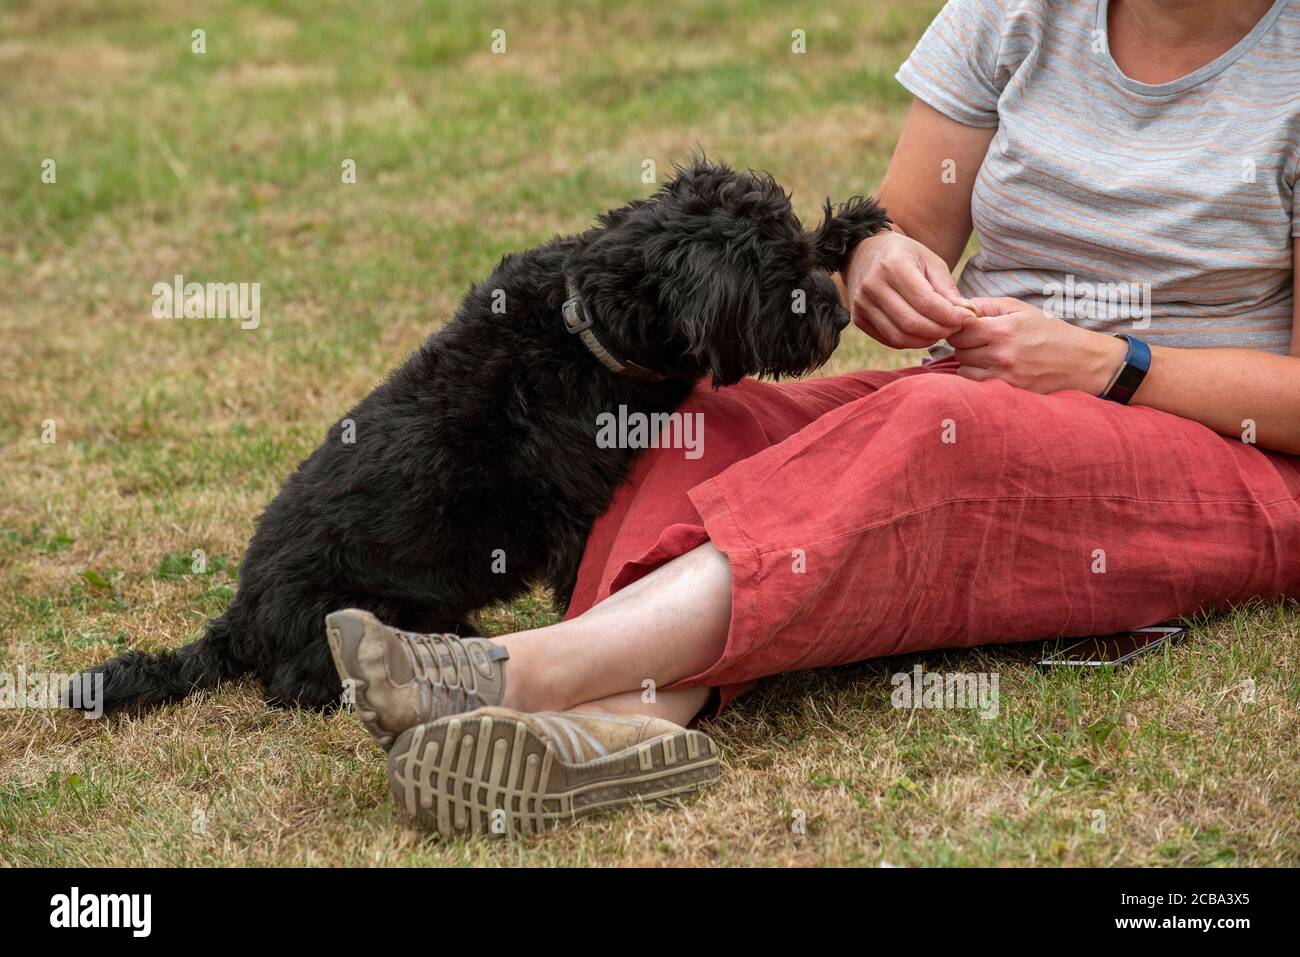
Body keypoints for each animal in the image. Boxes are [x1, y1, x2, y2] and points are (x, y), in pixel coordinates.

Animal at [76, 158, 889, 712]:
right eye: (776, 282)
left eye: (797, 254)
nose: (836, 316)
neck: (582, 324)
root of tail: (240, 619)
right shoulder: (574, 519)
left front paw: (851, 226)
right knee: (300, 685)